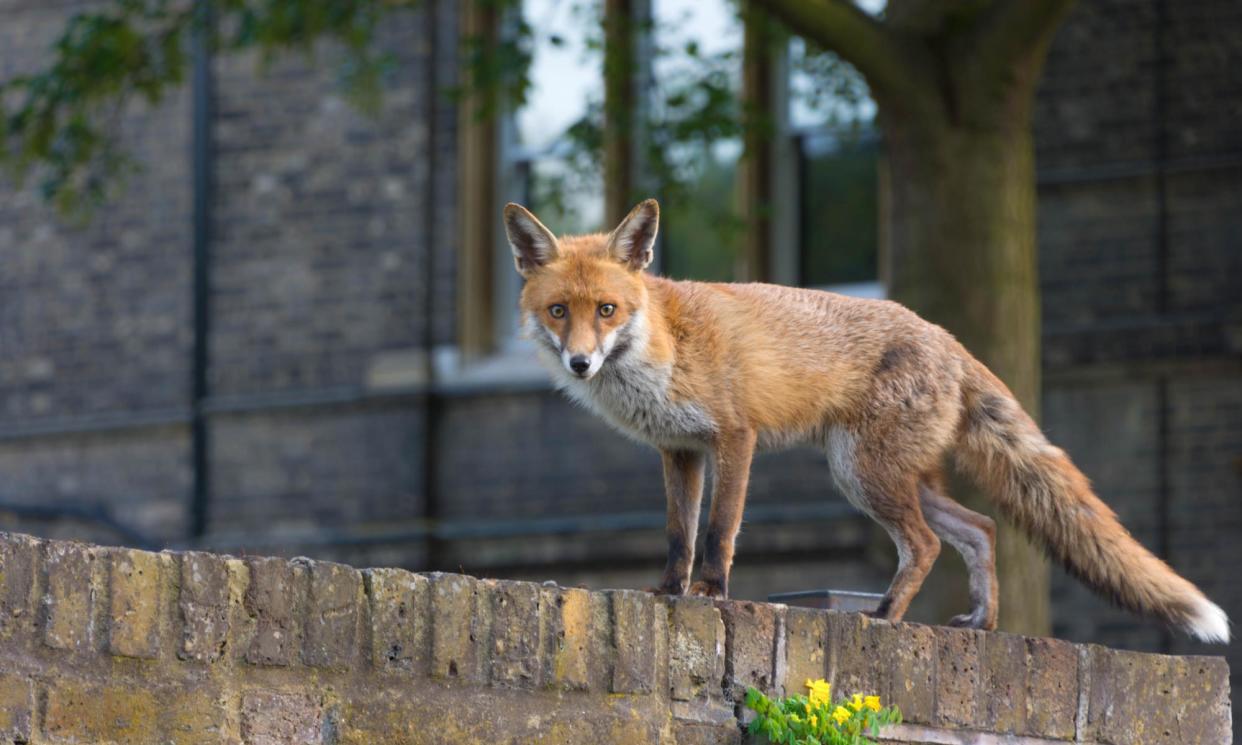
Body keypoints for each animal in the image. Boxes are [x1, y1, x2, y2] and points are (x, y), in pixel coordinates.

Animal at [504, 199, 1232, 645]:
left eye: (606, 309)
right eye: (559, 311)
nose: (579, 363)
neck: (662, 348)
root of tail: (948, 337)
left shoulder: (734, 437)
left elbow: (718, 532)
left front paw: (710, 594)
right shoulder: (679, 450)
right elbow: (677, 536)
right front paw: (664, 594)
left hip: (862, 473)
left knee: (928, 545)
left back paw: (885, 617)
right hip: (888, 475)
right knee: (982, 527)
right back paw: (981, 621)